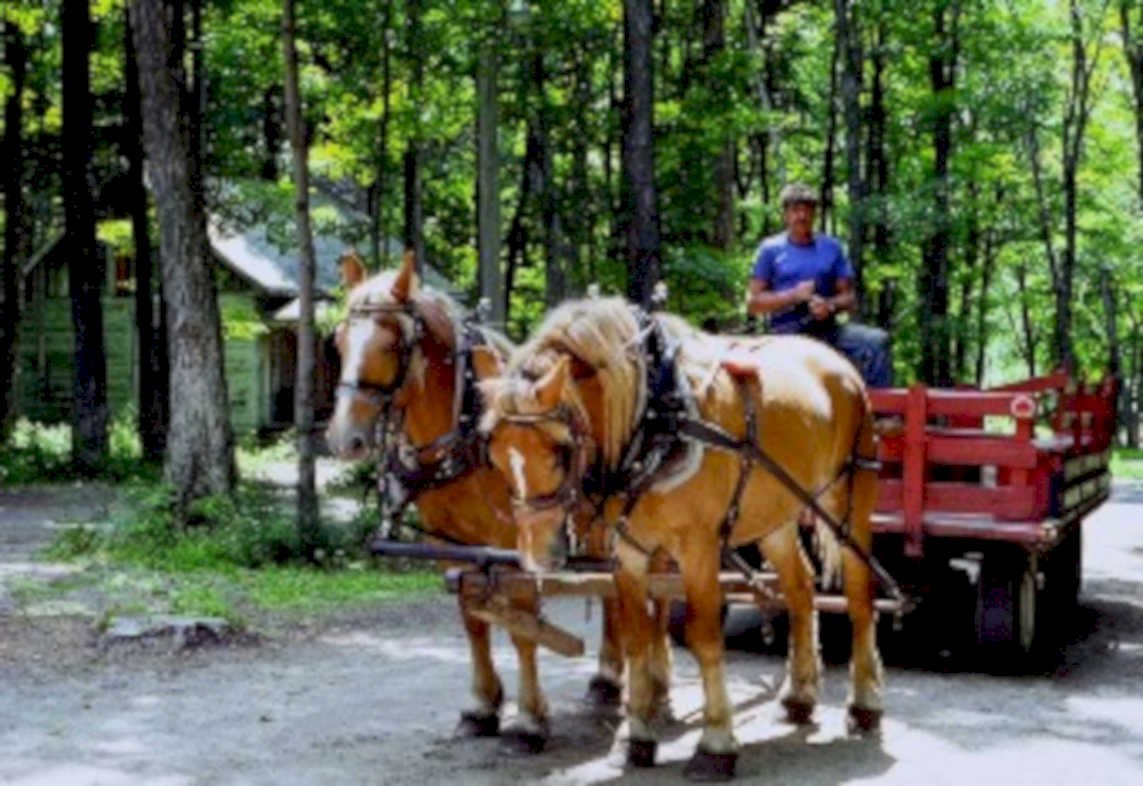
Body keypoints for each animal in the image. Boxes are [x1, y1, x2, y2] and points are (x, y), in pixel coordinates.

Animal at [324, 252, 628, 754]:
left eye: (391, 343)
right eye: (339, 341)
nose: (344, 438)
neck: (467, 436)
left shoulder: (515, 541)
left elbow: (523, 628)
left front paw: (529, 720)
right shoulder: (452, 541)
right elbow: (473, 620)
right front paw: (482, 707)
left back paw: (615, 678)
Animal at [478, 296, 884, 779]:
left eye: (560, 451)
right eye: (495, 455)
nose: (537, 556)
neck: (655, 419)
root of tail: (838, 363)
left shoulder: (699, 548)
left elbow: (703, 636)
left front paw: (716, 743)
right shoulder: (630, 551)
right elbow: (637, 636)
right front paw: (637, 736)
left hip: (848, 503)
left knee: (860, 597)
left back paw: (865, 704)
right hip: (775, 515)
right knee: (801, 590)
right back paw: (800, 696)